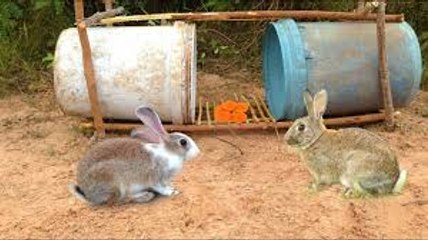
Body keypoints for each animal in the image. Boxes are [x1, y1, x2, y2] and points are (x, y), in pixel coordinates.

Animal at [70, 106, 201, 204]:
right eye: (183, 142)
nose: (198, 152)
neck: (169, 152)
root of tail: (89, 195)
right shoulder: (155, 177)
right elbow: (160, 188)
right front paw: (172, 192)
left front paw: (172, 187)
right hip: (115, 182)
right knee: (120, 200)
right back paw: (145, 196)